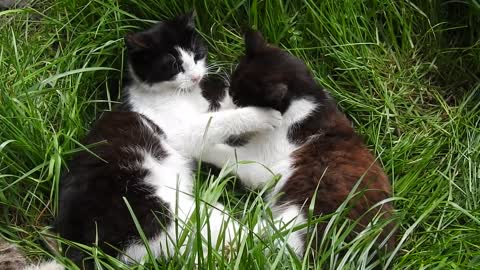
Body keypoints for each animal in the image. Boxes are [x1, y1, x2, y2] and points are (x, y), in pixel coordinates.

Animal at [54, 14, 282, 268]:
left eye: (196, 54)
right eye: (173, 65)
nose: (196, 76)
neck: (179, 94)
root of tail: (81, 249)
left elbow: (221, 109)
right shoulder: (180, 133)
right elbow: (217, 120)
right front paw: (262, 115)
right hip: (172, 212)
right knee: (241, 236)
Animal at [200, 30, 398, 256]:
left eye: (241, 102)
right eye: (231, 93)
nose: (230, 107)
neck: (304, 100)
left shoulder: (260, 163)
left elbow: (225, 154)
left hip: (304, 216)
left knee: (253, 238)